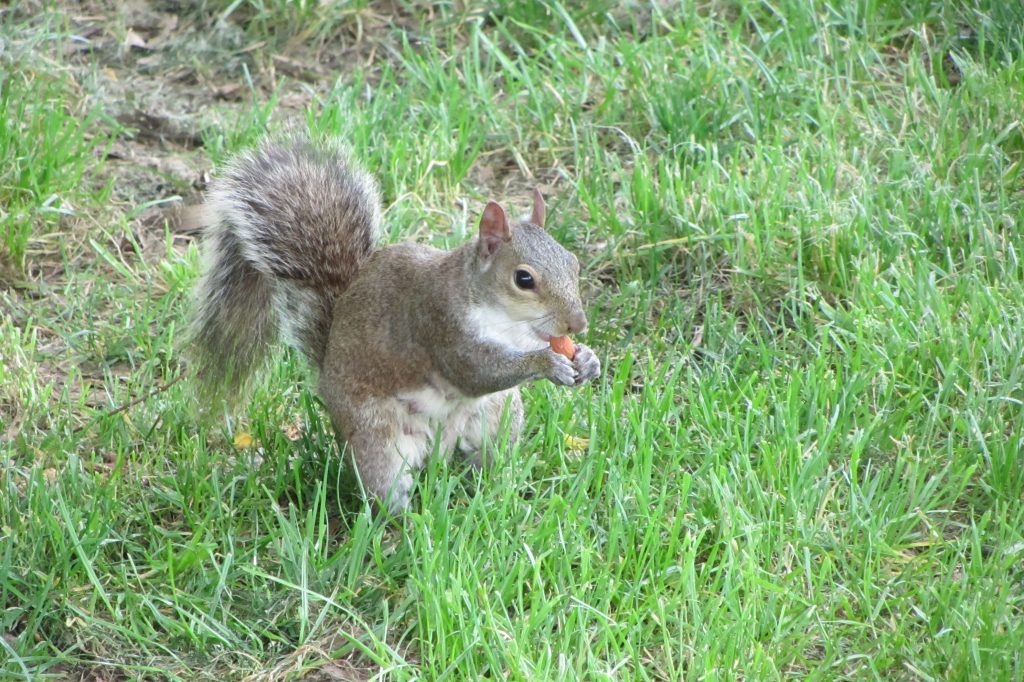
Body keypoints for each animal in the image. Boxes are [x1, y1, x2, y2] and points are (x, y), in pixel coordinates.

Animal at [186, 131, 598, 509]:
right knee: (385, 488)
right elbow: (476, 371)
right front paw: (546, 364)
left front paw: (587, 360)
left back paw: (497, 493)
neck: (506, 323)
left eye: (573, 262)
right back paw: (407, 522)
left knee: (488, 462)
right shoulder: (439, 324)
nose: (577, 324)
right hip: (378, 438)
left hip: (497, 419)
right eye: (524, 279)